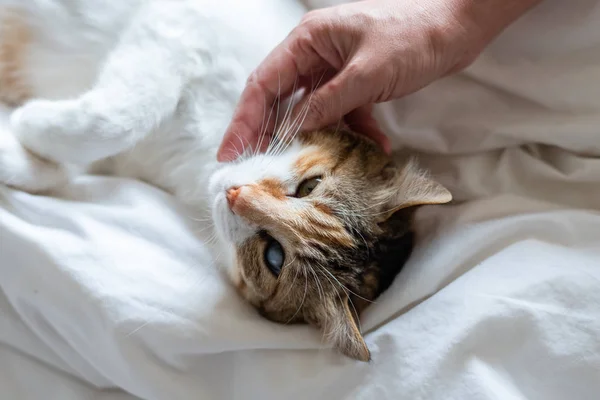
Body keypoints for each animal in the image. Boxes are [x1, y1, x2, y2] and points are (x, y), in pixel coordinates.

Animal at [0, 0, 450, 360]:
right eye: (310, 187)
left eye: (273, 258)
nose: (235, 194)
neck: (205, 148)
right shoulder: (183, 23)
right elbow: (127, 112)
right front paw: (31, 121)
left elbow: (73, 158)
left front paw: (18, 136)